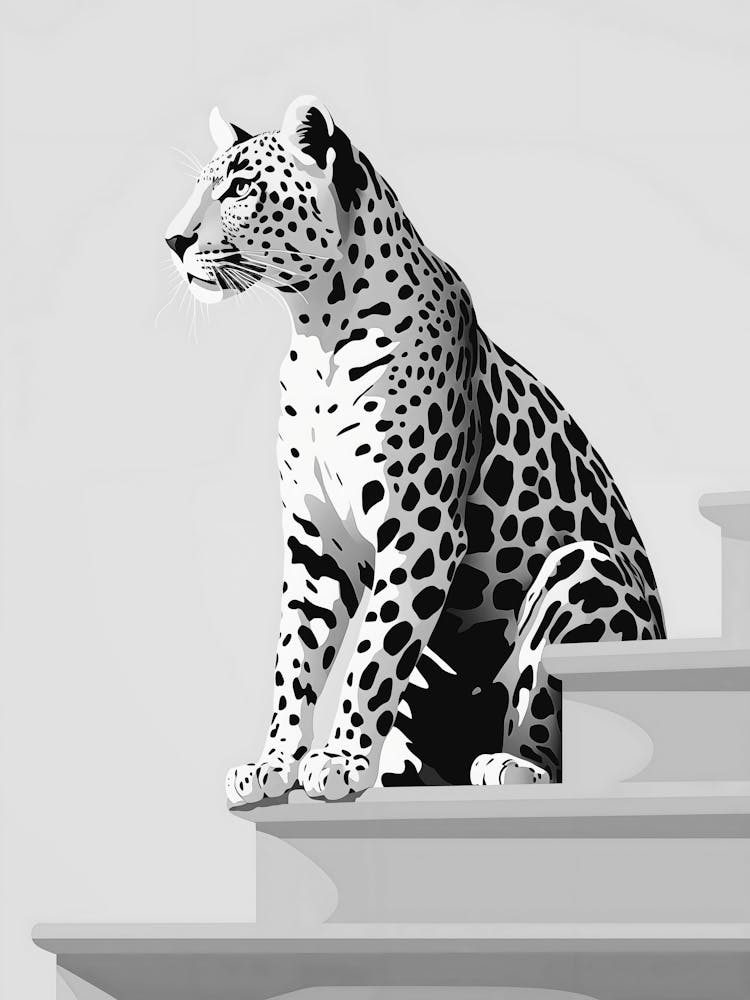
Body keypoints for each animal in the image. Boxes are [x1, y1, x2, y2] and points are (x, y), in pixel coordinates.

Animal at [165, 96, 666, 805]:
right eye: (200, 185)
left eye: (239, 188)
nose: (172, 241)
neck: (317, 329)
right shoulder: (315, 539)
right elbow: (295, 657)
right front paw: (274, 762)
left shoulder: (419, 527)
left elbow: (373, 654)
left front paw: (339, 759)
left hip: (581, 571)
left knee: (544, 714)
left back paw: (514, 766)